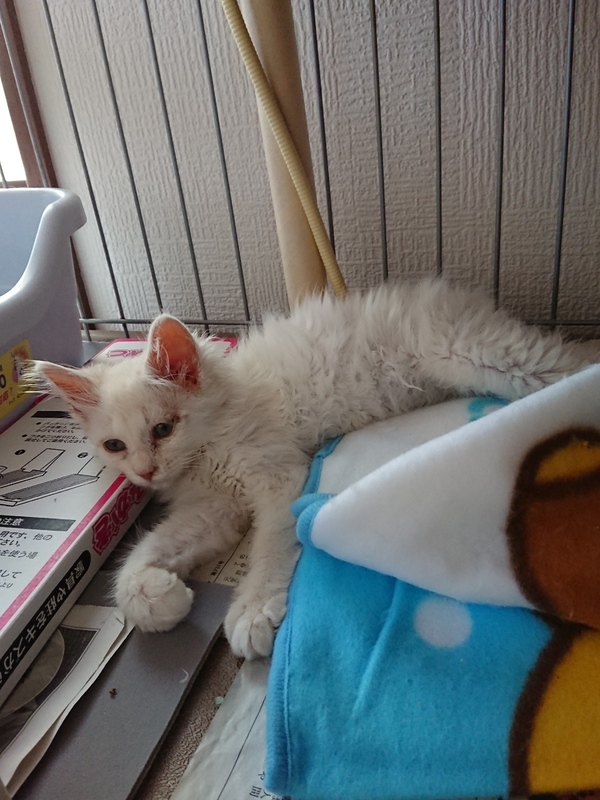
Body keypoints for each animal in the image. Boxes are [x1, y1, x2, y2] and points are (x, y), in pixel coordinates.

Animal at [31, 279, 594, 659]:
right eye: (115, 445)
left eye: (163, 429)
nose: (146, 474)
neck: (208, 446)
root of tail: (460, 296)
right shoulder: (215, 508)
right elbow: (138, 560)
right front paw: (157, 598)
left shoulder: (278, 475)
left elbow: (269, 548)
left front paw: (252, 611)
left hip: (485, 356)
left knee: (575, 361)